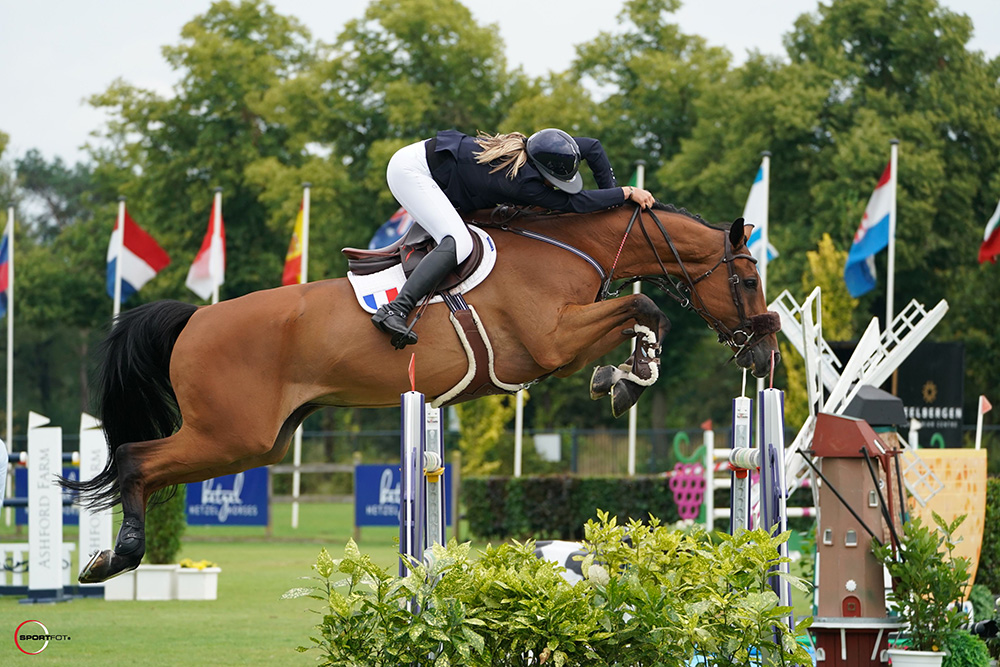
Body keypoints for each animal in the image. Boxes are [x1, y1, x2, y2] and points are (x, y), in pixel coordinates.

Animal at [62, 201, 780, 580]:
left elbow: (638, 311)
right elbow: (643, 306)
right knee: (136, 459)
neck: (564, 248)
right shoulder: (550, 343)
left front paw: (622, 375)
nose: (764, 351)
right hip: (231, 433)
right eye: (747, 280)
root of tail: (196, 318)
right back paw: (116, 557)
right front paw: (630, 375)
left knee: (147, 464)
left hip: (257, 441)